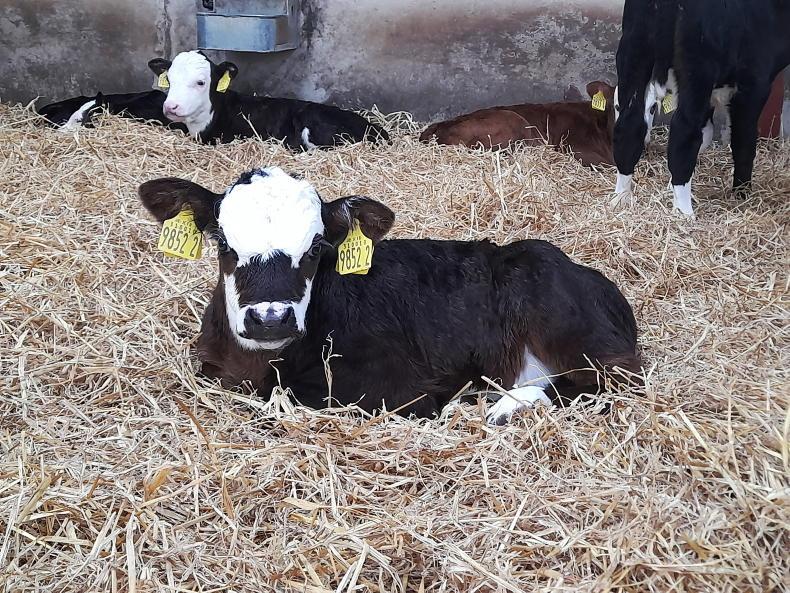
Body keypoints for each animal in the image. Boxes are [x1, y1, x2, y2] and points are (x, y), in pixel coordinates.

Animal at [137, 167, 641, 425]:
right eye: (222, 242)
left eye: (317, 247)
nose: (271, 317)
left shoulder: (398, 391)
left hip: (578, 335)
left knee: (605, 384)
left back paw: (504, 405)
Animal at [612, 0, 790, 216]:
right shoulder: (754, 82)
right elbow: (743, 141)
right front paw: (742, 193)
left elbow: (706, 134)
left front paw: (670, 185)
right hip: (698, 67)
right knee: (684, 132)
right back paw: (684, 213)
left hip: (634, 49)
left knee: (629, 125)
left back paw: (621, 198)